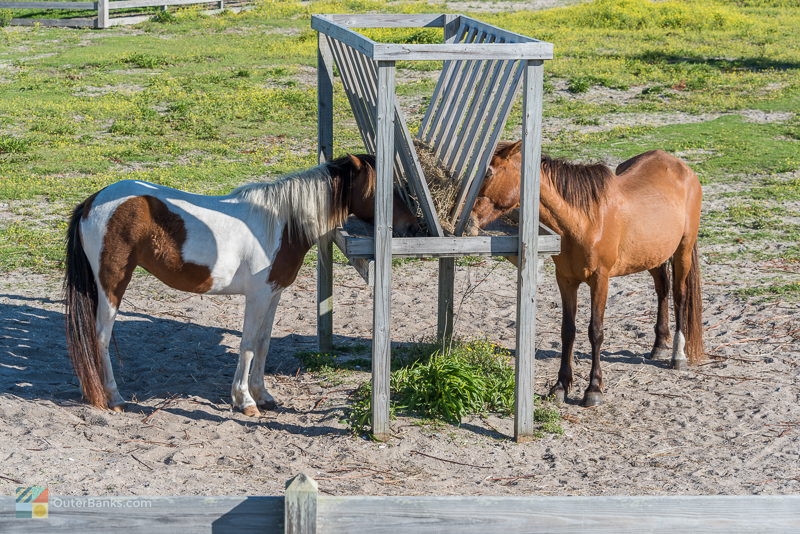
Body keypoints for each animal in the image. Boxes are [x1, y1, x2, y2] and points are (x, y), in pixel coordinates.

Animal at [65, 153, 422, 416]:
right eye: (386, 189)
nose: (412, 226)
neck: (280, 223)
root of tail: (92, 201)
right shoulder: (258, 296)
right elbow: (248, 345)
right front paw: (245, 401)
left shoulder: (273, 293)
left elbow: (263, 343)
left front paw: (263, 394)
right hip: (111, 284)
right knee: (100, 337)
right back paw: (113, 397)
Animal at [472, 142, 704, 406]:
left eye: (488, 173)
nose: (469, 218)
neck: (585, 221)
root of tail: (683, 169)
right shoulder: (565, 279)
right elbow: (568, 331)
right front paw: (560, 385)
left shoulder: (600, 280)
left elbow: (595, 331)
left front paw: (593, 388)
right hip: (652, 253)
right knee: (662, 289)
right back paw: (659, 345)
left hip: (683, 250)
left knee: (680, 296)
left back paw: (678, 355)